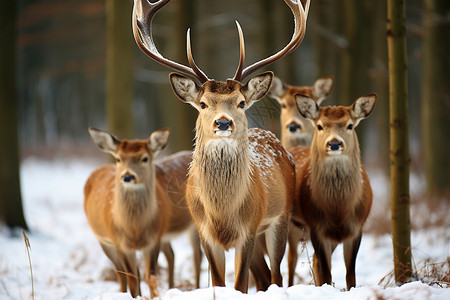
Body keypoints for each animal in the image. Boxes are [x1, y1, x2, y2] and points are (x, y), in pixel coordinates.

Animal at [84, 127, 202, 298]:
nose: (127, 176)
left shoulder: (153, 240)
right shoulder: (120, 243)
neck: (135, 229)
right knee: (124, 272)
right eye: (118, 159)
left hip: (193, 223)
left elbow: (150, 276)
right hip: (104, 240)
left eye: (145, 158)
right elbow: (133, 278)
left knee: (196, 256)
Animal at [131, 0, 310, 292]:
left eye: (241, 102)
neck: (222, 215)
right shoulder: (204, 232)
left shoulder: (248, 230)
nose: (223, 122)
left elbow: (239, 284)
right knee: (264, 277)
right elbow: (218, 282)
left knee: (277, 276)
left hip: (280, 218)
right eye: (203, 104)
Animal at [290, 93, 378, 288]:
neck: (338, 210)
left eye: (350, 125)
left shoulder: (356, 228)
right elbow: (326, 273)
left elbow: (350, 274)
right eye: (319, 125)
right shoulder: (316, 226)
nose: (335, 143)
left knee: (312, 261)